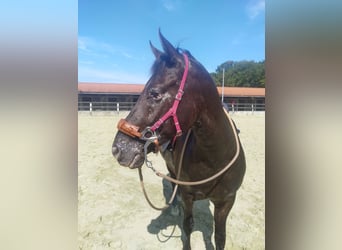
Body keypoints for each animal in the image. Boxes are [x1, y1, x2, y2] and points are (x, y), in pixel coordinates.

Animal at [112, 31, 246, 250]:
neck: (214, 158)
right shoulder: (188, 195)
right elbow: (187, 226)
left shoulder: (226, 201)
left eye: (155, 93)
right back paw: (174, 207)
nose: (118, 149)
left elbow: (220, 236)